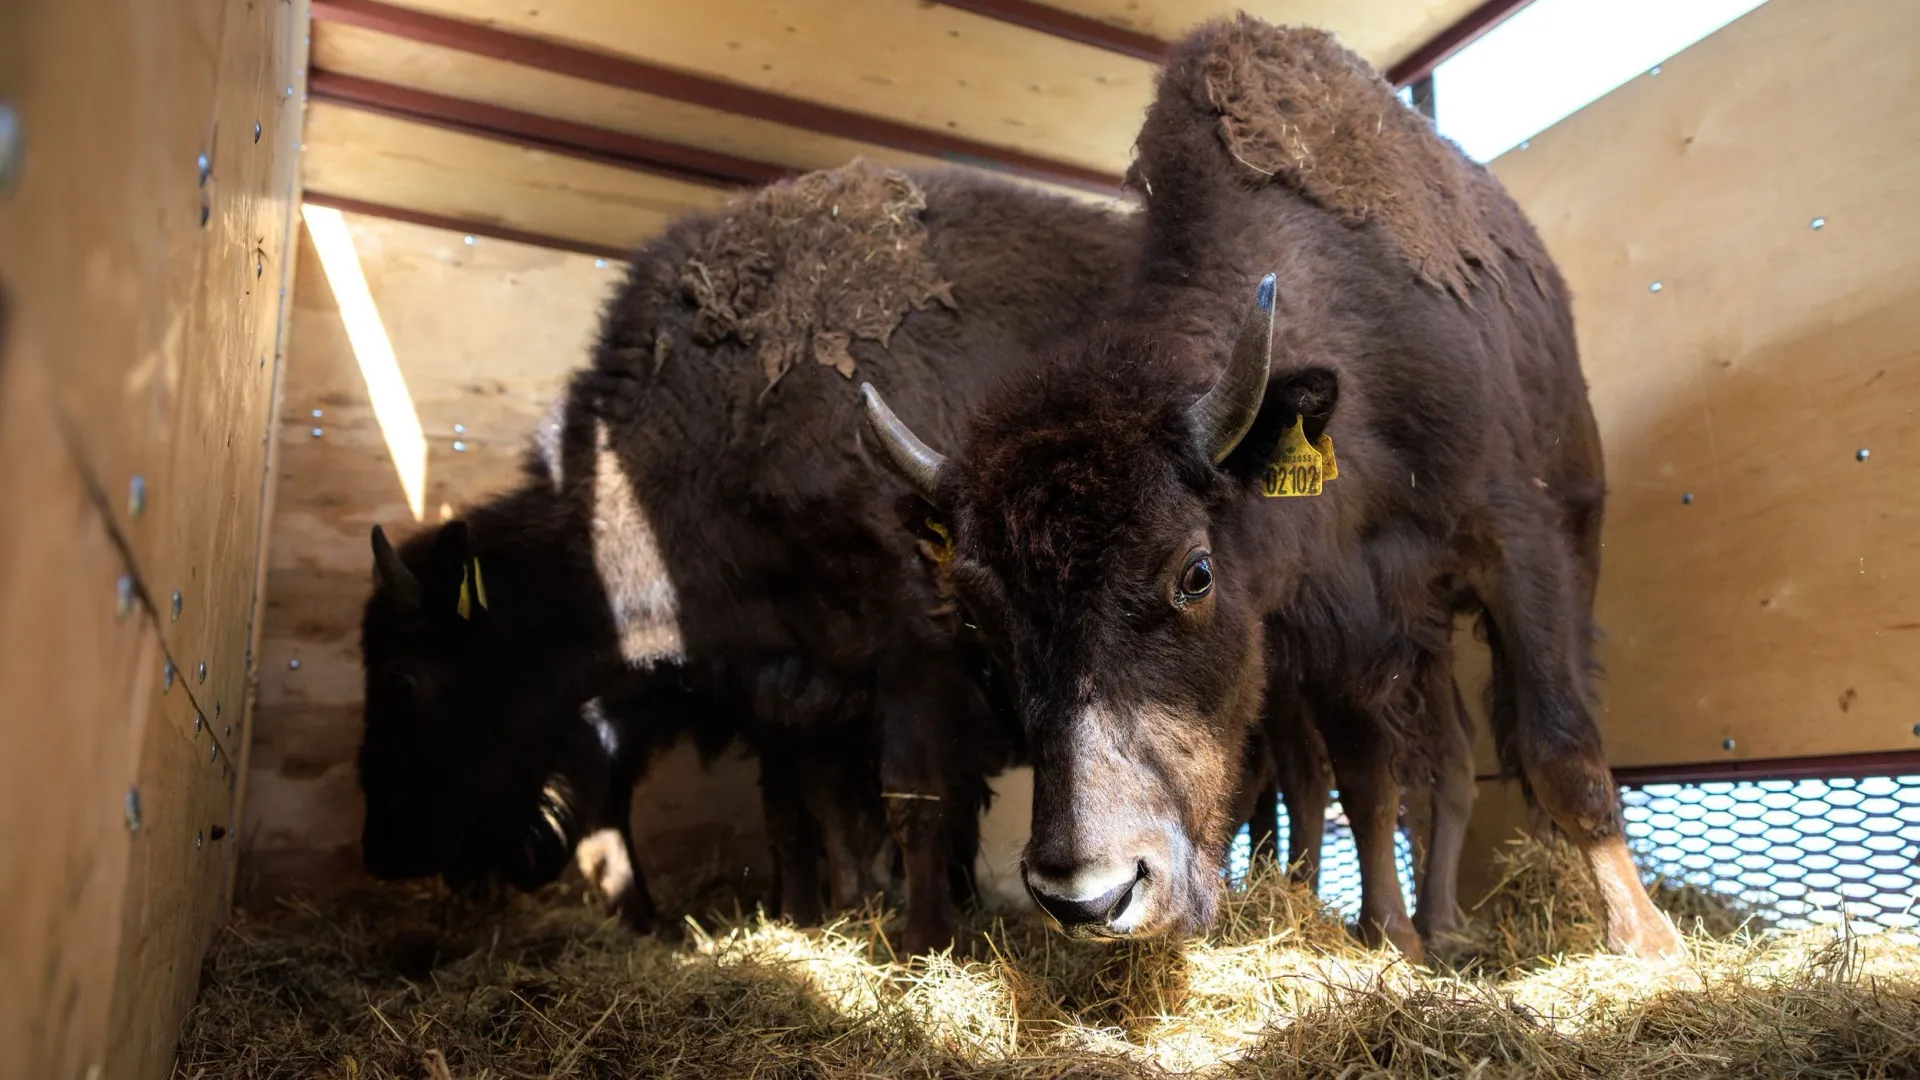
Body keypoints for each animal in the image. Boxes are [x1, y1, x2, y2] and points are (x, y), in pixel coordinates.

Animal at [357, 159, 1136, 949]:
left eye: (404, 678)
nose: (384, 849)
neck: (737, 418)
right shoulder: (792, 686)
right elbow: (803, 811)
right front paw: (823, 913)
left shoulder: (913, 656)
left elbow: (912, 802)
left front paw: (921, 942)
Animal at [864, 21, 1689, 953]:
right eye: (979, 617)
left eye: (1195, 573)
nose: (1089, 895)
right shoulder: (1339, 620)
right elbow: (1363, 779)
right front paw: (1389, 936)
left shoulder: (1509, 540)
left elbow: (1559, 742)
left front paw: (1649, 945)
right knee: (1441, 762)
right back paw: (1439, 925)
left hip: (1563, 541)